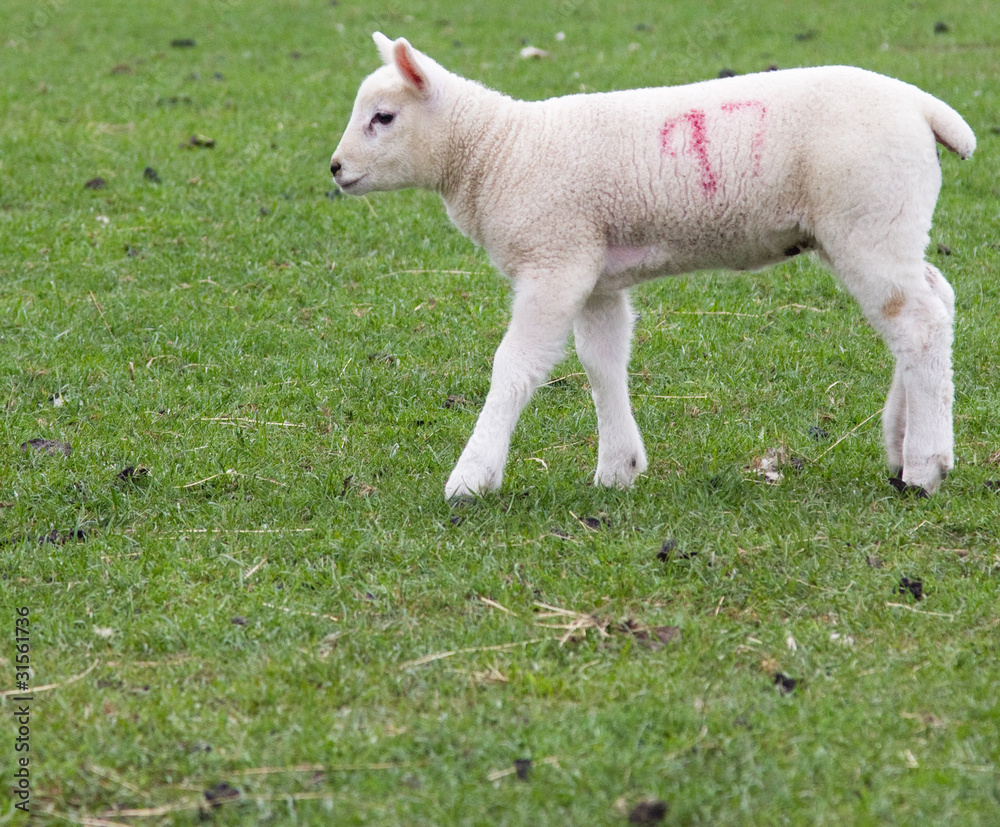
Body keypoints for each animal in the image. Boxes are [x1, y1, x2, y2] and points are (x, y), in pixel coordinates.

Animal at [330, 32, 975, 500]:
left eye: (383, 118)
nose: (335, 169)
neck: (497, 151)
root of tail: (921, 105)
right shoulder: (593, 273)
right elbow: (602, 361)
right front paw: (619, 468)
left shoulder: (555, 260)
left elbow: (514, 365)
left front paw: (472, 476)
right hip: (882, 226)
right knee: (934, 301)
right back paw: (902, 443)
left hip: (869, 218)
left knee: (917, 323)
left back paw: (925, 466)